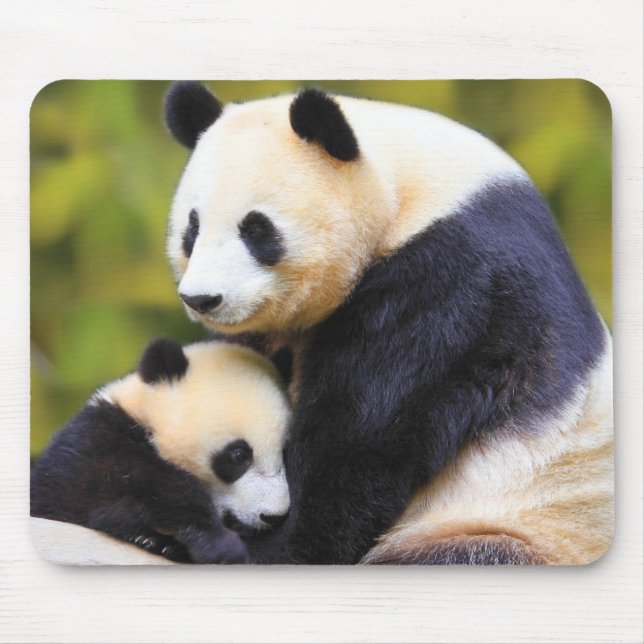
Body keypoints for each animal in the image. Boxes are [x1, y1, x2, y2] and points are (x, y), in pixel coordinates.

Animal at [31, 338, 291, 564]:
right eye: (239, 455)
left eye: (284, 452)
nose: (274, 516)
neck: (148, 423)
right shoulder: (95, 445)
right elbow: (141, 487)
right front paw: (219, 543)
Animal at [163, 82, 613, 565]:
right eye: (192, 228)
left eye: (256, 229)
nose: (202, 298)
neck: (408, 191)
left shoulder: (451, 284)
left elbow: (360, 442)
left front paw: (261, 545)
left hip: (514, 527)